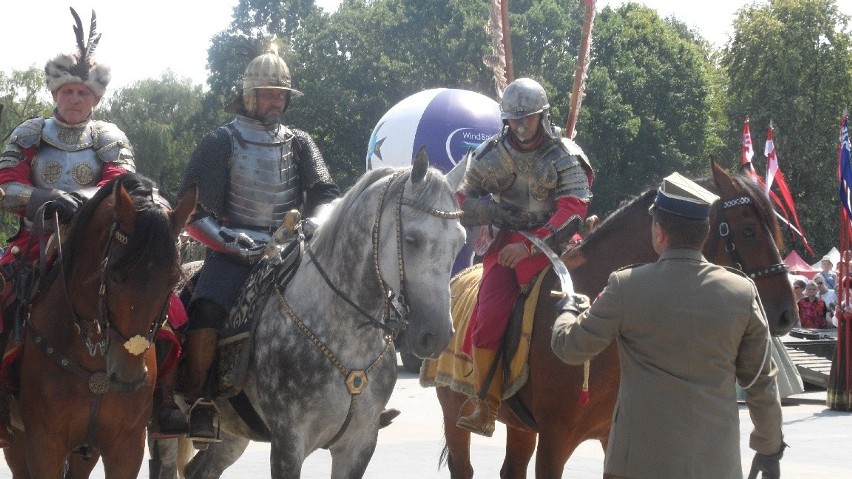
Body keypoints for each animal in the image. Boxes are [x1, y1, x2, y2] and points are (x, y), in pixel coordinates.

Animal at [2, 174, 195, 479]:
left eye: (172, 279)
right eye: (114, 275)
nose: (127, 378)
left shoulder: (127, 447)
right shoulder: (44, 444)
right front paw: (64, 202)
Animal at [160, 148, 466, 478]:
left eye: (460, 241)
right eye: (411, 239)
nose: (435, 335)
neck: (344, 335)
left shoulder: (359, 444)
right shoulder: (289, 442)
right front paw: (244, 244)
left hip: (231, 434)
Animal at [432, 162, 800, 479]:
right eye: (749, 231)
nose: (787, 313)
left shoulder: (613, 436)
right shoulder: (555, 438)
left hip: (520, 425)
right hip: (454, 410)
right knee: (463, 467)